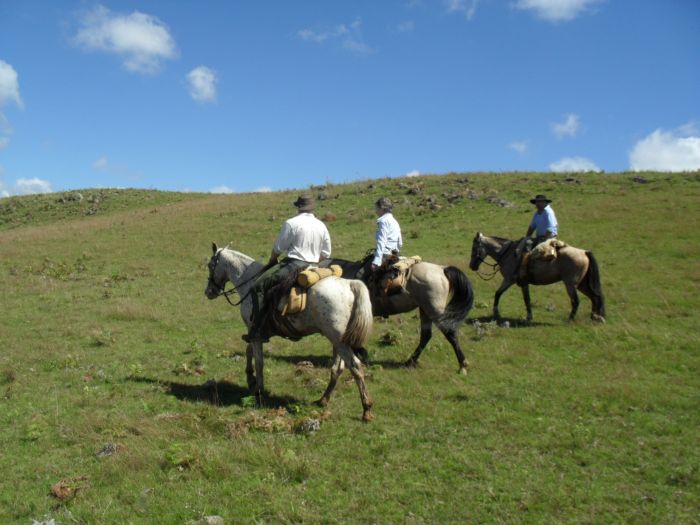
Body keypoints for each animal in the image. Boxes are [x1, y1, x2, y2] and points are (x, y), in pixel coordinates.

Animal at [204, 244, 374, 420]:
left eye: (210, 265)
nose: (209, 291)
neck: (249, 281)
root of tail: (350, 285)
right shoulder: (254, 331)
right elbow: (248, 350)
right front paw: (250, 378)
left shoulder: (255, 332)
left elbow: (259, 362)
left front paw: (258, 392)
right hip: (338, 341)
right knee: (338, 368)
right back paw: (323, 399)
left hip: (339, 340)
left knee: (355, 366)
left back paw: (366, 410)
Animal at [320, 253, 474, 372]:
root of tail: (442, 269)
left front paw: (361, 352)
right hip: (425, 310)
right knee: (426, 336)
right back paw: (410, 361)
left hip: (434, 310)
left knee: (450, 333)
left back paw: (463, 364)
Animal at [470, 231, 608, 322]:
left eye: (474, 248)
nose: (471, 266)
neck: (509, 254)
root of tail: (584, 252)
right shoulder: (520, 283)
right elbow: (522, 298)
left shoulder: (510, 280)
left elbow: (501, 294)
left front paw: (497, 313)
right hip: (582, 284)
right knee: (595, 297)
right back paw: (595, 317)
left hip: (571, 284)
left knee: (576, 301)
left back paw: (570, 319)